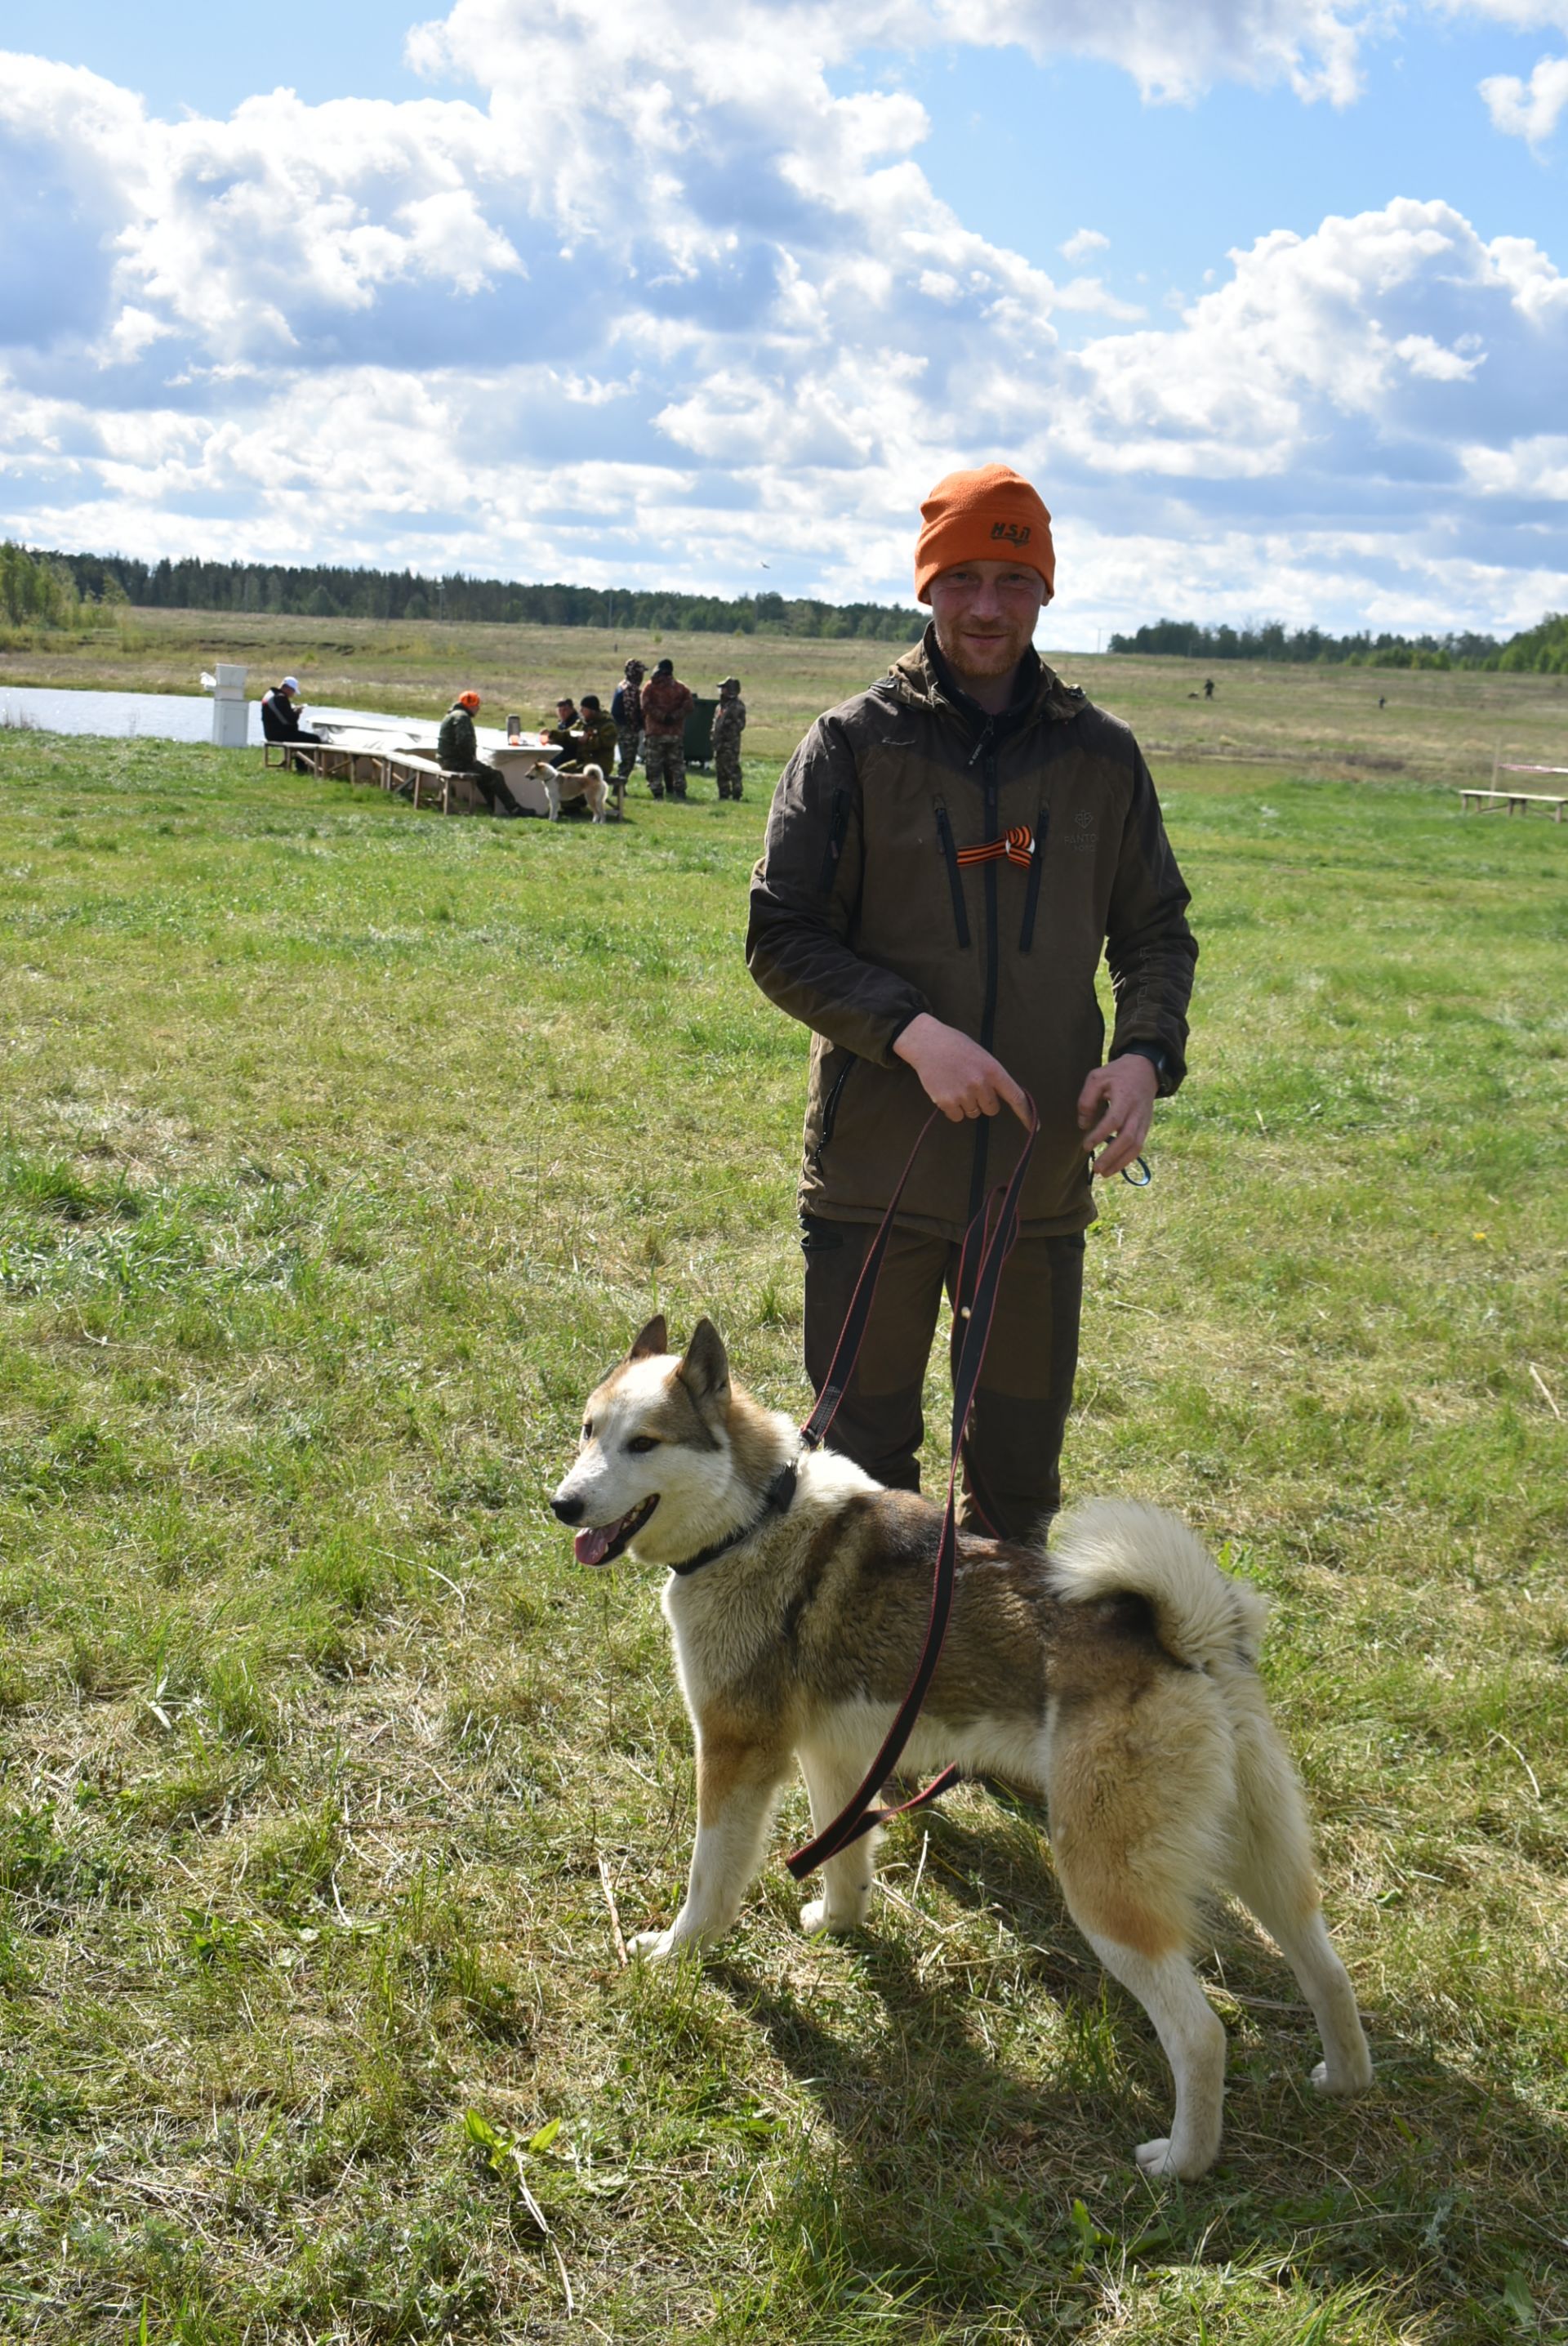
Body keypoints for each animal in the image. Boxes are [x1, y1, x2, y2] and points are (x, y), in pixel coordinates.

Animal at [553, 1322, 1369, 2177]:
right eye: (588, 1430)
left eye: (644, 1443)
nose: (561, 1504)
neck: (753, 1521)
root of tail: (1189, 1639)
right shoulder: (835, 1758)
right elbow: (844, 1855)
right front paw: (839, 1924)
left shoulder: (736, 1754)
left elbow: (709, 1881)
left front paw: (674, 1954)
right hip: (1262, 1858)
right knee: (1327, 1970)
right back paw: (1342, 2080)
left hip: (1104, 1885)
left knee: (1201, 2034)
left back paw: (1181, 2161)